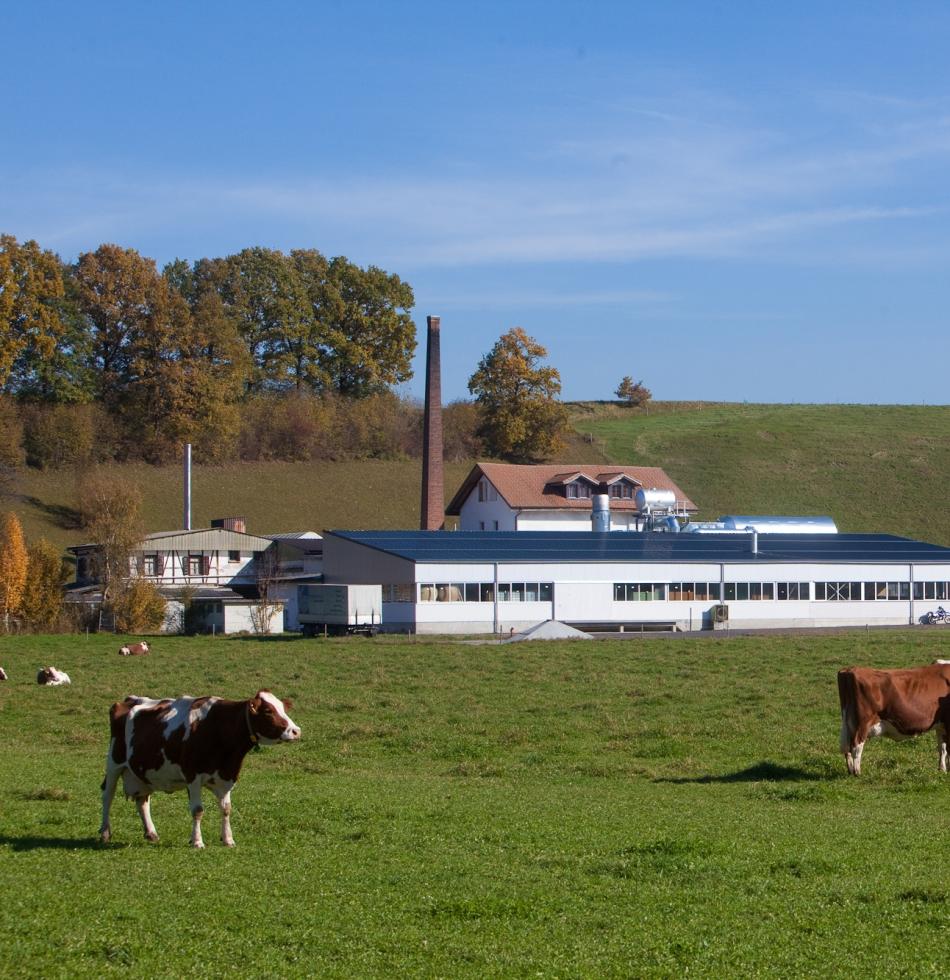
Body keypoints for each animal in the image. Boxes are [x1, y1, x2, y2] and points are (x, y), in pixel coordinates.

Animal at [98, 688, 300, 848]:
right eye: (268, 711)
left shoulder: (226, 777)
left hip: (142, 773)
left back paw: (151, 833)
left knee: (142, 800)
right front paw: (197, 841)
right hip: (114, 763)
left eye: (283, 708)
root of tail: (129, 699)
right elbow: (197, 810)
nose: (296, 731)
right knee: (108, 796)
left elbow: (226, 808)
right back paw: (105, 832)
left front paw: (228, 839)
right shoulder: (192, 776)